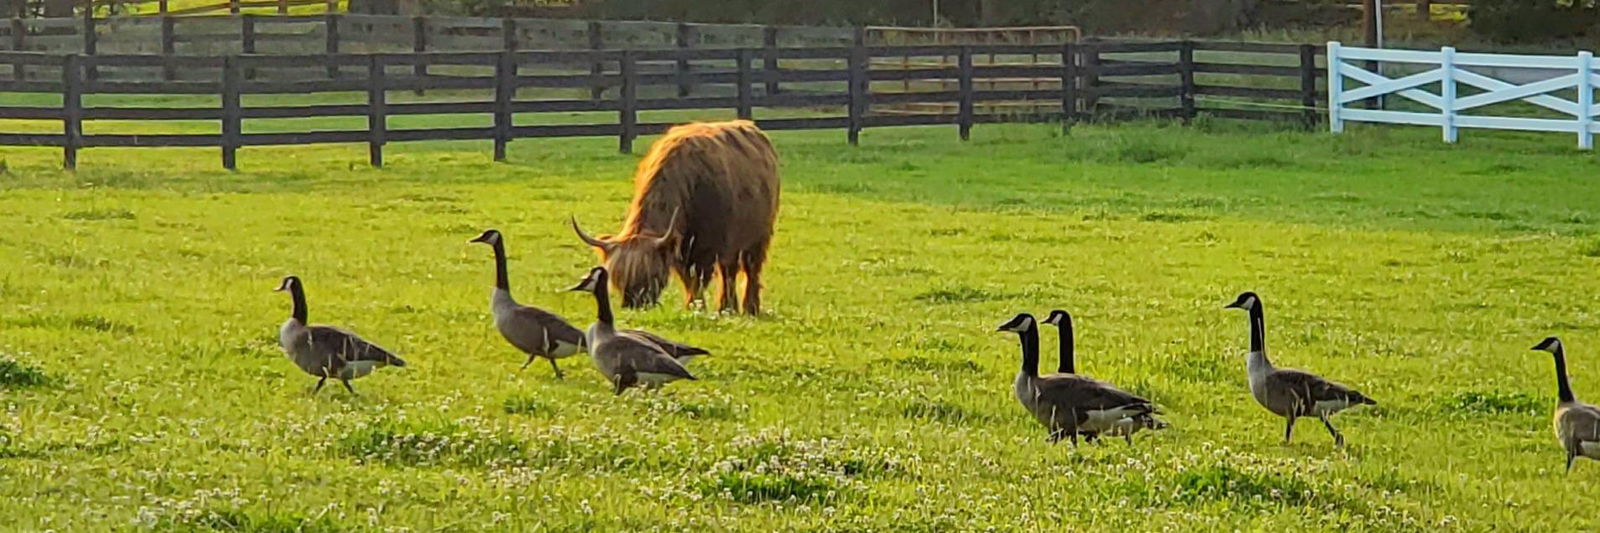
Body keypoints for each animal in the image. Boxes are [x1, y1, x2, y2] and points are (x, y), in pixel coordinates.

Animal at [571, 120, 779, 315]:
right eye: (618, 279)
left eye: (651, 275)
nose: (634, 306)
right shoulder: (681, 247)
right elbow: (688, 278)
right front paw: (693, 306)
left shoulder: (708, 245)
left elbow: (699, 277)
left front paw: (696, 306)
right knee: (729, 270)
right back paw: (729, 308)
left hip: (758, 235)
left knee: (749, 269)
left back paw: (749, 308)